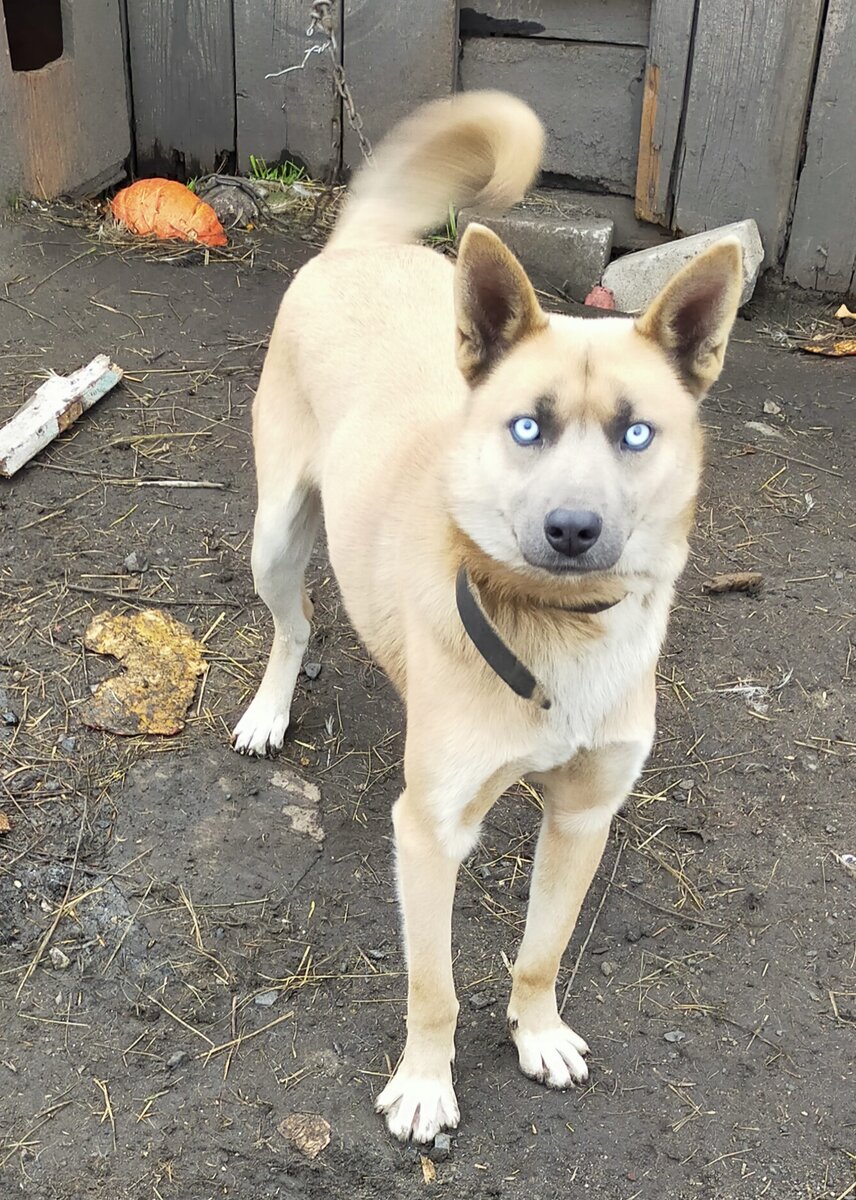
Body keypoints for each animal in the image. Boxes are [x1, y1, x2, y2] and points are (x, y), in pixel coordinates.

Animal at [231, 91, 739, 1142]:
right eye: (527, 426)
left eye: (637, 432)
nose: (573, 529)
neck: (562, 633)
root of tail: (363, 247)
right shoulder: (429, 832)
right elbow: (434, 988)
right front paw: (426, 1084)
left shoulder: (584, 816)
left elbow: (541, 951)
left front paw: (537, 1033)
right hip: (275, 532)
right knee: (294, 624)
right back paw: (270, 708)